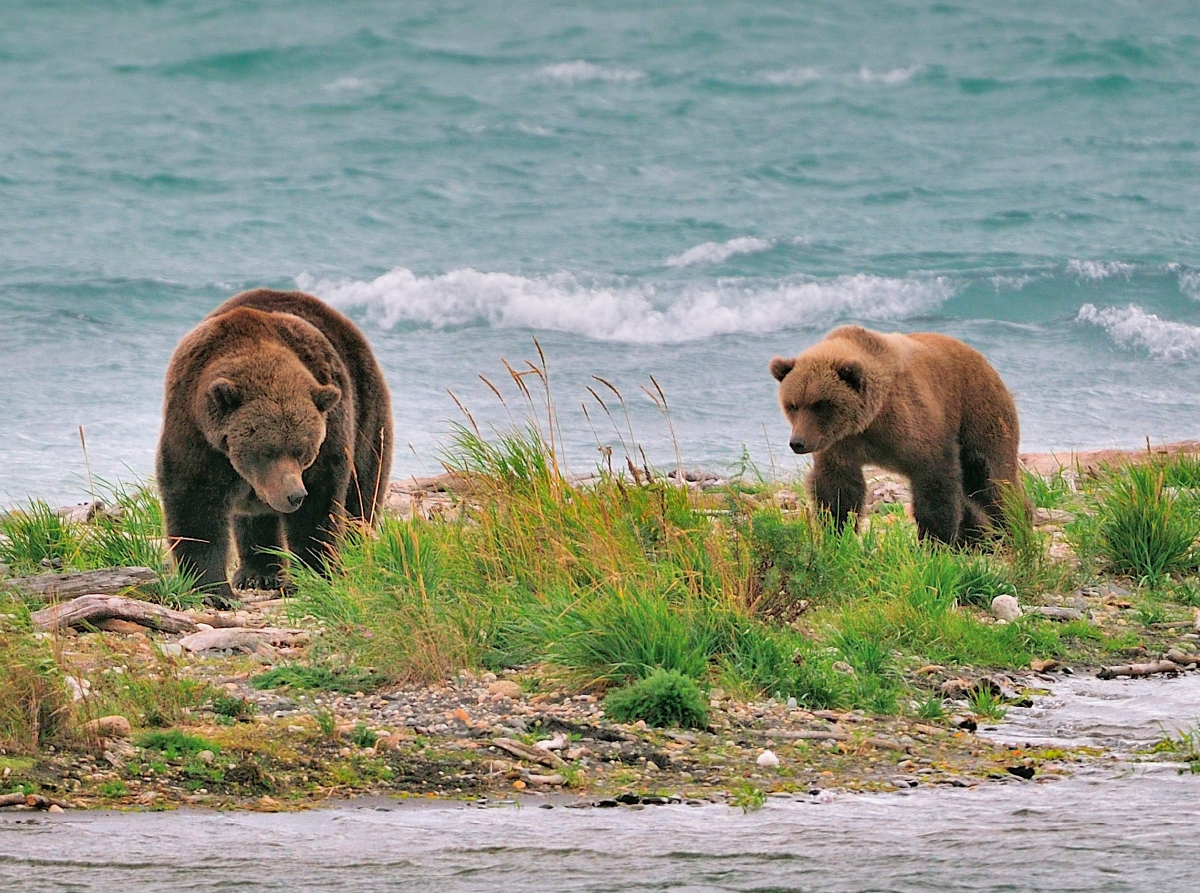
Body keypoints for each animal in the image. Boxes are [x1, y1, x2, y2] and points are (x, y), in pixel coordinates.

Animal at [156, 289, 393, 602]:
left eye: (303, 450)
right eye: (267, 450)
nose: (294, 495)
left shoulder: (330, 435)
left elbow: (320, 506)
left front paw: (316, 574)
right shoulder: (197, 431)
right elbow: (195, 502)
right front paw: (212, 589)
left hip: (366, 409)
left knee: (362, 491)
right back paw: (258, 573)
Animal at [768, 326, 1022, 544]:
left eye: (820, 404)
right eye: (792, 405)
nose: (798, 442)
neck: (870, 421)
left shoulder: (913, 424)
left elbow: (934, 480)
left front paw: (934, 540)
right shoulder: (840, 445)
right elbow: (837, 489)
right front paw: (836, 532)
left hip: (979, 415)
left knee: (992, 481)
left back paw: (1016, 531)